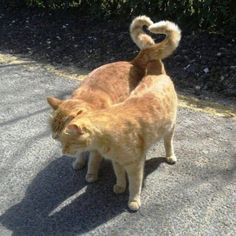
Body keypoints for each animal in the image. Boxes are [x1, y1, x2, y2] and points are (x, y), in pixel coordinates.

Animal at [48, 16, 181, 183]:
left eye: (61, 129)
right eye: (53, 128)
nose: (54, 137)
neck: (87, 100)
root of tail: (132, 61)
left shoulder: (97, 146)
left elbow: (93, 160)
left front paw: (91, 174)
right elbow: (81, 153)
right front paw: (79, 162)